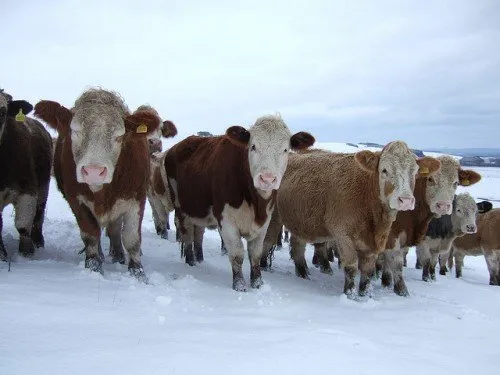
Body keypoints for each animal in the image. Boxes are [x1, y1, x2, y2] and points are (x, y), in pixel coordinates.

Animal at [0, 91, 52, 262]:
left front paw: (27, 253)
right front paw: (1, 254)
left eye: (2, 111)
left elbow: (23, 225)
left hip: (43, 188)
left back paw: (38, 242)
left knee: (38, 216)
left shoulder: (28, 189)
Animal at [34, 89, 160, 282]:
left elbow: (131, 238)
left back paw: (118, 255)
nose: (94, 171)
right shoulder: (76, 200)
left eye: (119, 136)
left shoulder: (136, 198)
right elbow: (91, 234)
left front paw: (138, 273)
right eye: (75, 131)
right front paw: (94, 266)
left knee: (115, 230)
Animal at [164, 116, 314, 292]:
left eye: (285, 149)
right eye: (253, 146)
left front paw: (257, 283)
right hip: (180, 207)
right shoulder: (226, 221)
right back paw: (190, 262)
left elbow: (255, 254)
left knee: (197, 232)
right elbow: (237, 253)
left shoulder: (264, 222)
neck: (256, 203)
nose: (267, 179)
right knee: (187, 234)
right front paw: (239, 284)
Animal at [262, 141, 442, 296]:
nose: (405, 200)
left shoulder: (373, 242)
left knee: (297, 249)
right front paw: (350, 294)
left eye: (415, 172)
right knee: (268, 241)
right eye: (384, 170)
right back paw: (264, 266)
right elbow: (351, 266)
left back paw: (303, 273)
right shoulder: (343, 235)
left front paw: (364, 294)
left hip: (300, 221)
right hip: (274, 218)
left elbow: (368, 271)